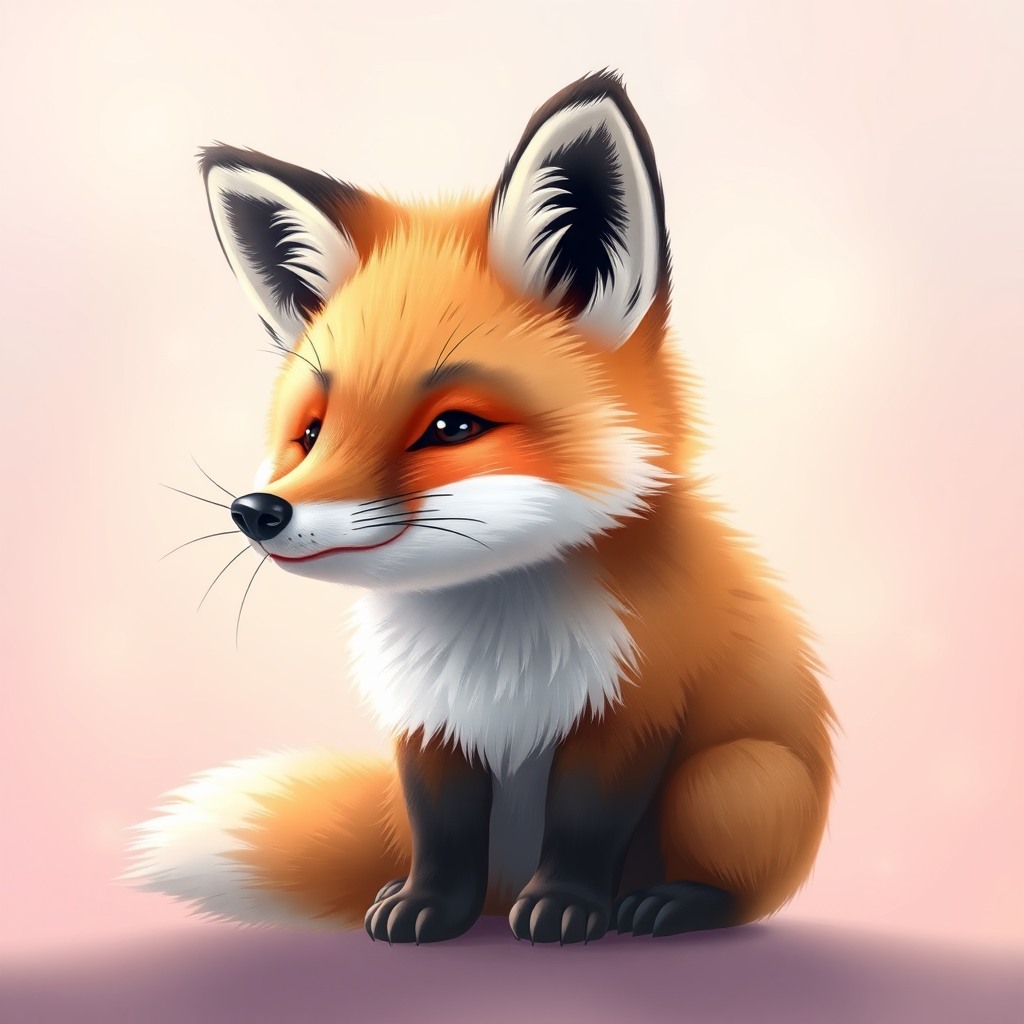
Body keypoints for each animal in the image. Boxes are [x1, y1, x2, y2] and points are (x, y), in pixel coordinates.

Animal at [125, 70, 836, 946]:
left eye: (453, 427)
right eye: (313, 432)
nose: (258, 511)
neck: (494, 648)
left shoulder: (631, 712)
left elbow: (586, 824)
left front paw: (566, 906)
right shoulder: (431, 724)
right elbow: (444, 831)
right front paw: (426, 907)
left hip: (734, 778)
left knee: (743, 885)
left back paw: (671, 904)